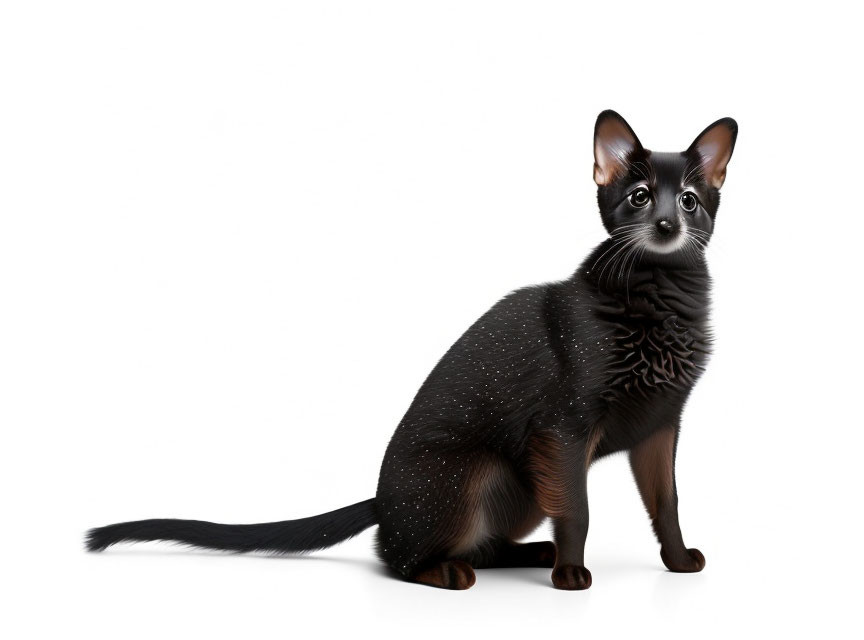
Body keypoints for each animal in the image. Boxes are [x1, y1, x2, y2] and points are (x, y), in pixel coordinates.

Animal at [88, 110, 736, 592]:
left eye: (688, 201)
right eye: (640, 196)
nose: (664, 225)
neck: (662, 298)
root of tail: (381, 501)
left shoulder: (660, 427)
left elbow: (668, 504)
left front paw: (678, 563)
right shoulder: (565, 429)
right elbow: (578, 509)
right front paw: (572, 574)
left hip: (523, 483)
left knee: (476, 543)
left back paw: (528, 553)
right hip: (478, 472)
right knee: (395, 557)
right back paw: (454, 572)